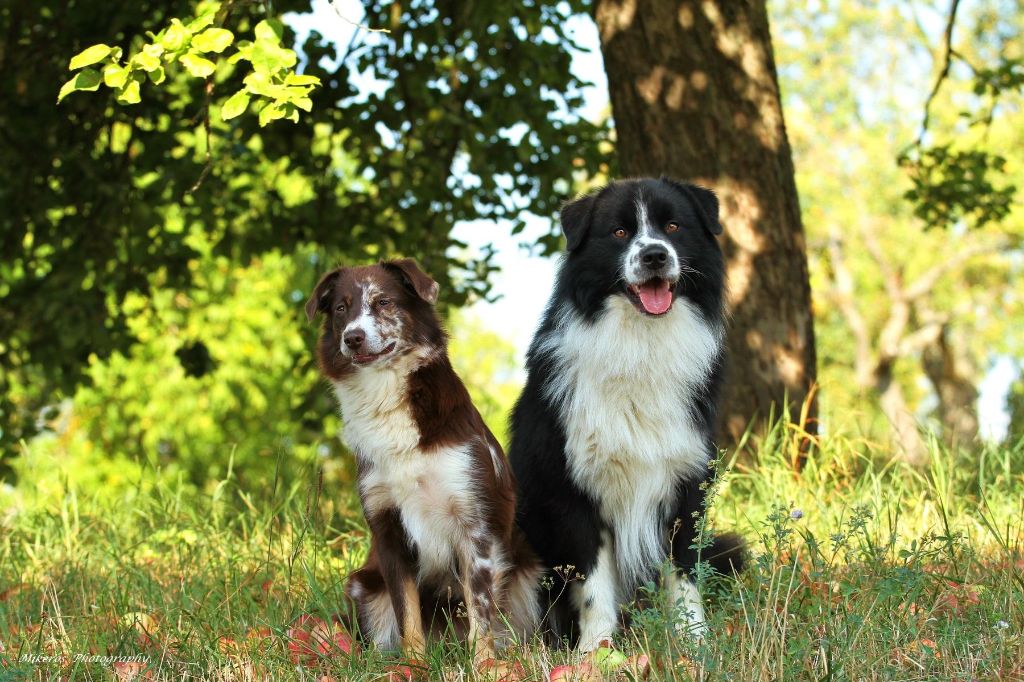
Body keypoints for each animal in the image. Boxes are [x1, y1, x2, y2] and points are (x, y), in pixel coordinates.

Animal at [303, 259, 540, 659]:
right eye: (340, 308)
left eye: (383, 302)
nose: (352, 337)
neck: (386, 395)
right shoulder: (387, 528)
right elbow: (407, 612)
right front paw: (414, 664)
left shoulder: (473, 523)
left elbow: (480, 609)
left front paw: (484, 663)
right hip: (364, 585)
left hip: (528, 572)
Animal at [507, 176, 741, 647]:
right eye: (618, 232)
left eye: (673, 226)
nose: (654, 255)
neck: (641, 344)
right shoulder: (573, 489)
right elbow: (595, 584)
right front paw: (596, 651)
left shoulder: (686, 480)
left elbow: (684, 574)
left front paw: (696, 643)